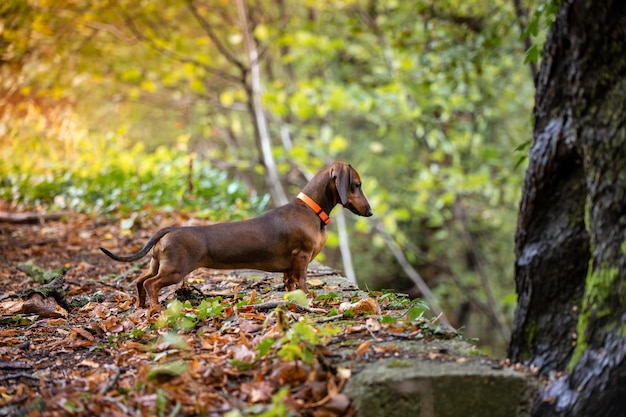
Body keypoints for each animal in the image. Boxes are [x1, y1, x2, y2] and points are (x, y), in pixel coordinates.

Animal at [99, 161, 368, 308]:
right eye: (356, 185)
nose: (371, 211)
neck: (310, 210)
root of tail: (170, 229)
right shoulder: (301, 257)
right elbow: (302, 281)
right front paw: (309, 298)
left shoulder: (290, 266)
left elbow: (290, 283)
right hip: (174, 270)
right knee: (151, 284)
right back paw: (155, 309)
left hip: (157, 265)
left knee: (140, 281)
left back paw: (141, 305)